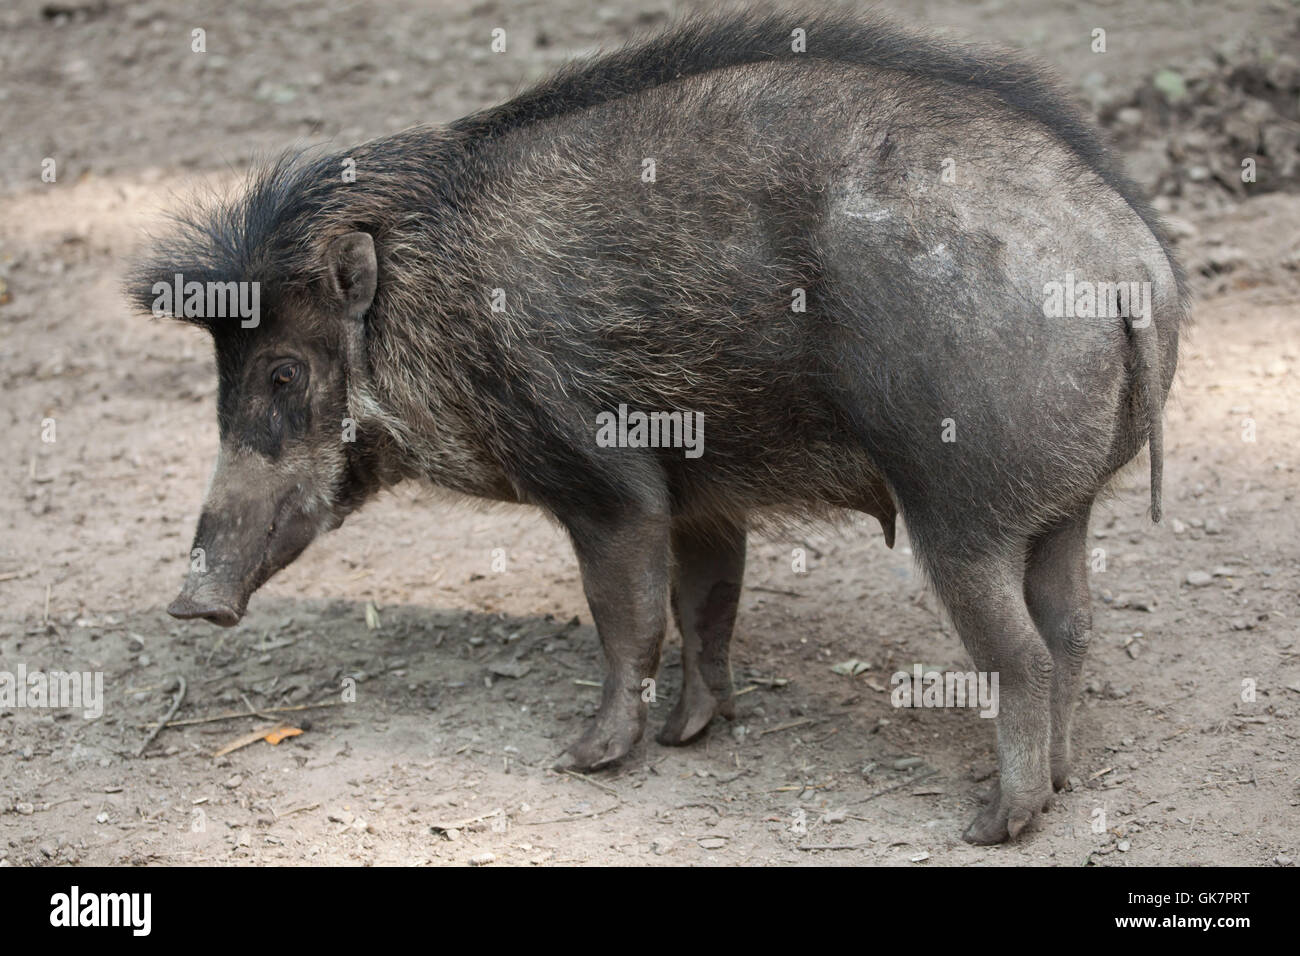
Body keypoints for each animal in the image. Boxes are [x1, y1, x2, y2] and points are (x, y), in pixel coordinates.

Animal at [129, 9, 1186, 843]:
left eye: (282, 371)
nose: (190, 604)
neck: (439, 308)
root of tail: (1130, 264)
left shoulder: (605, 483)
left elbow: (627, 621)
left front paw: (583, 759)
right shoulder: (704, 498)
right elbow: (704, 608)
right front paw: (691, 735)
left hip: (960, 507)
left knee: (1022, 654)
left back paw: (993, 824)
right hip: (1063, 505)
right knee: (1073, 628)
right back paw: (1061, 783)